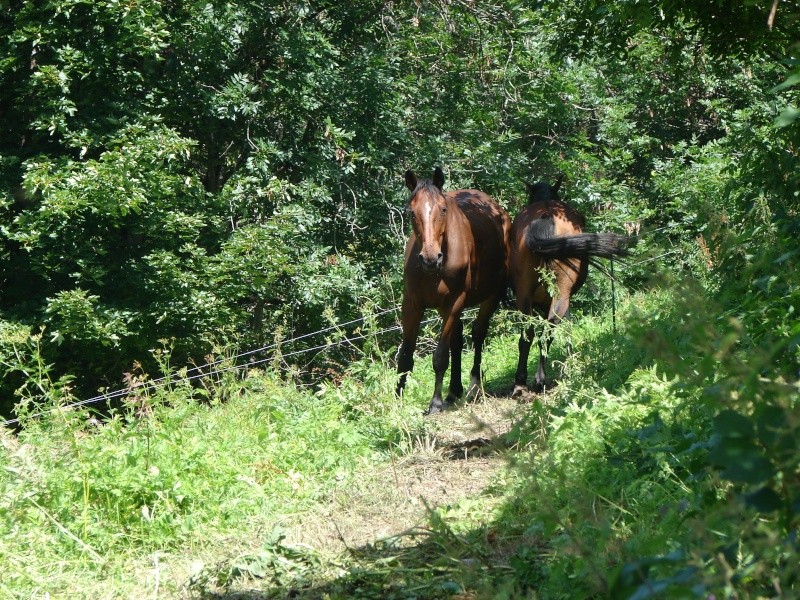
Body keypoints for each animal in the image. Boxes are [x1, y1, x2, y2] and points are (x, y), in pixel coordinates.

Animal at [396, 166, 512, 414]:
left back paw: (473, 385)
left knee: (478, 333)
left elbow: (440, 356)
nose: (430, 258)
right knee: (457, 340)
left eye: (443, 209)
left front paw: (435, 403)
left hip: (491, 295)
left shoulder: (454, 303)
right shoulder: (412, 305)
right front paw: (396, 401)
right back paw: (453, 391)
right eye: (411, 213)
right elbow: (405, 358)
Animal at [510, 176, 628, 396]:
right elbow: (567, 327)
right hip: (561, 295)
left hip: (524, 296)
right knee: (548, 330)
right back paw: (540, 379)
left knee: (528, 333)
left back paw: (520, 382)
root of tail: (546, 216)